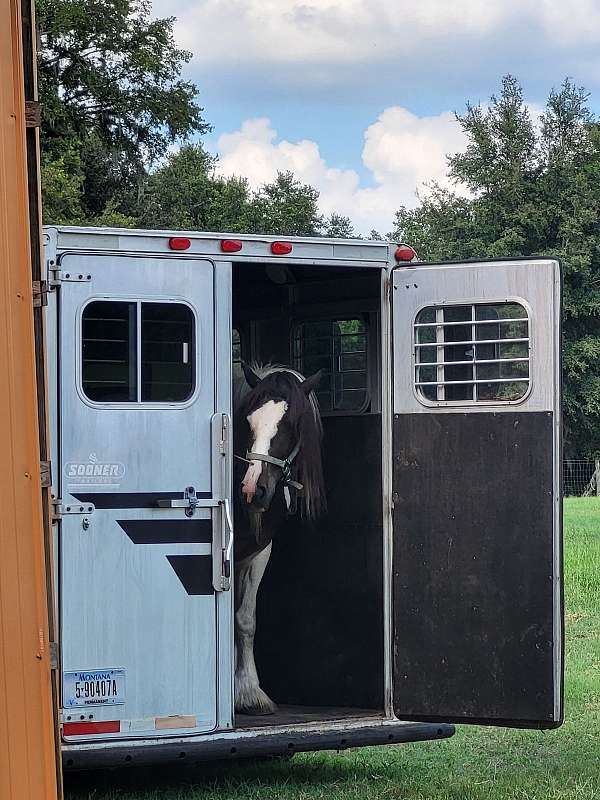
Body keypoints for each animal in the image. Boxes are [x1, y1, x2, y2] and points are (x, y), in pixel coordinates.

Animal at [234, 362, 328, 712]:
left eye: (291, 424)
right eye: (247, 420)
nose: (253, 489)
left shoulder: (258, 553)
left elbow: (245, 620)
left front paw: (248, 692)